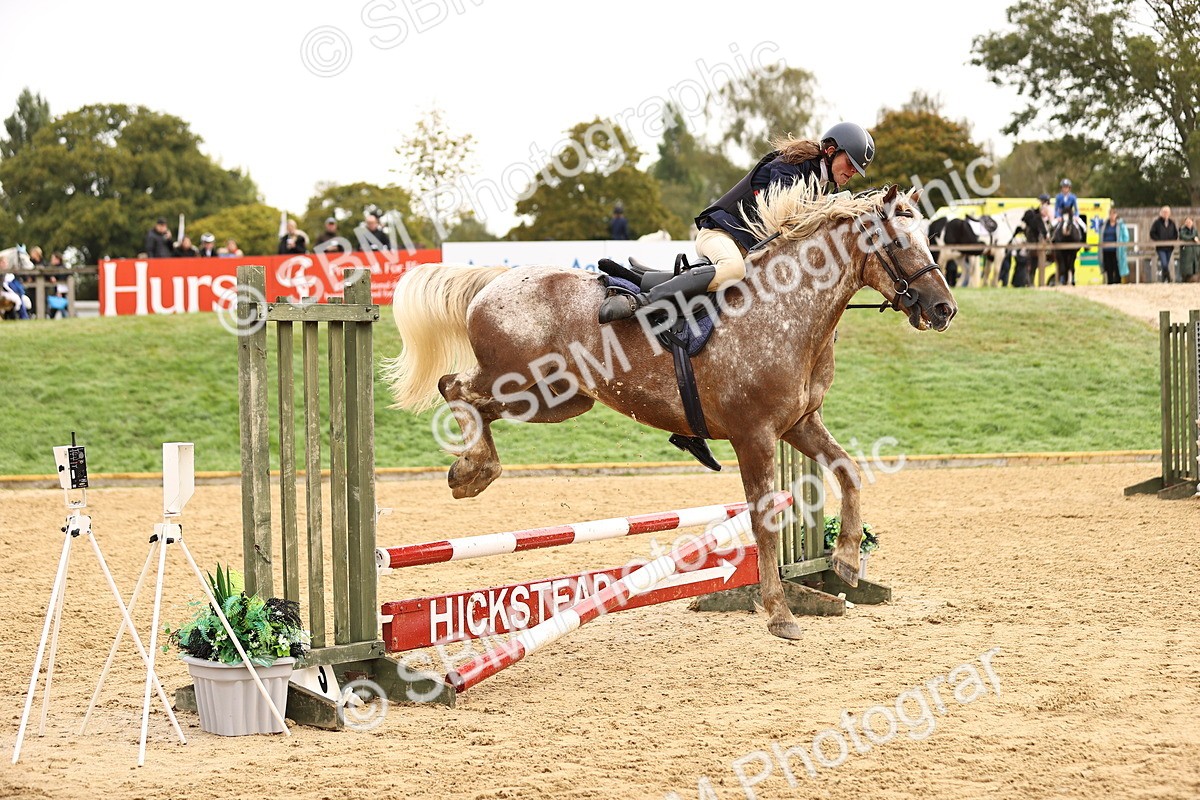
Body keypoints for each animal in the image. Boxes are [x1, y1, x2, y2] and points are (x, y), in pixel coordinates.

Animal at [383, 184, 957, 641]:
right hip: (521, 381)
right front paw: (779, 613)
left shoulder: (799, 425)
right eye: (899, 242)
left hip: (559, 399)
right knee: (455, 386)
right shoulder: (754, 435)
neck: (788, 310)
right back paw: (472, 468)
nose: (943, 309)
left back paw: (471, 469)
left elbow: (849, 472)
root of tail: (494, 281)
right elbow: (765, 523)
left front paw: (845, 562)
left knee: (471, 399)